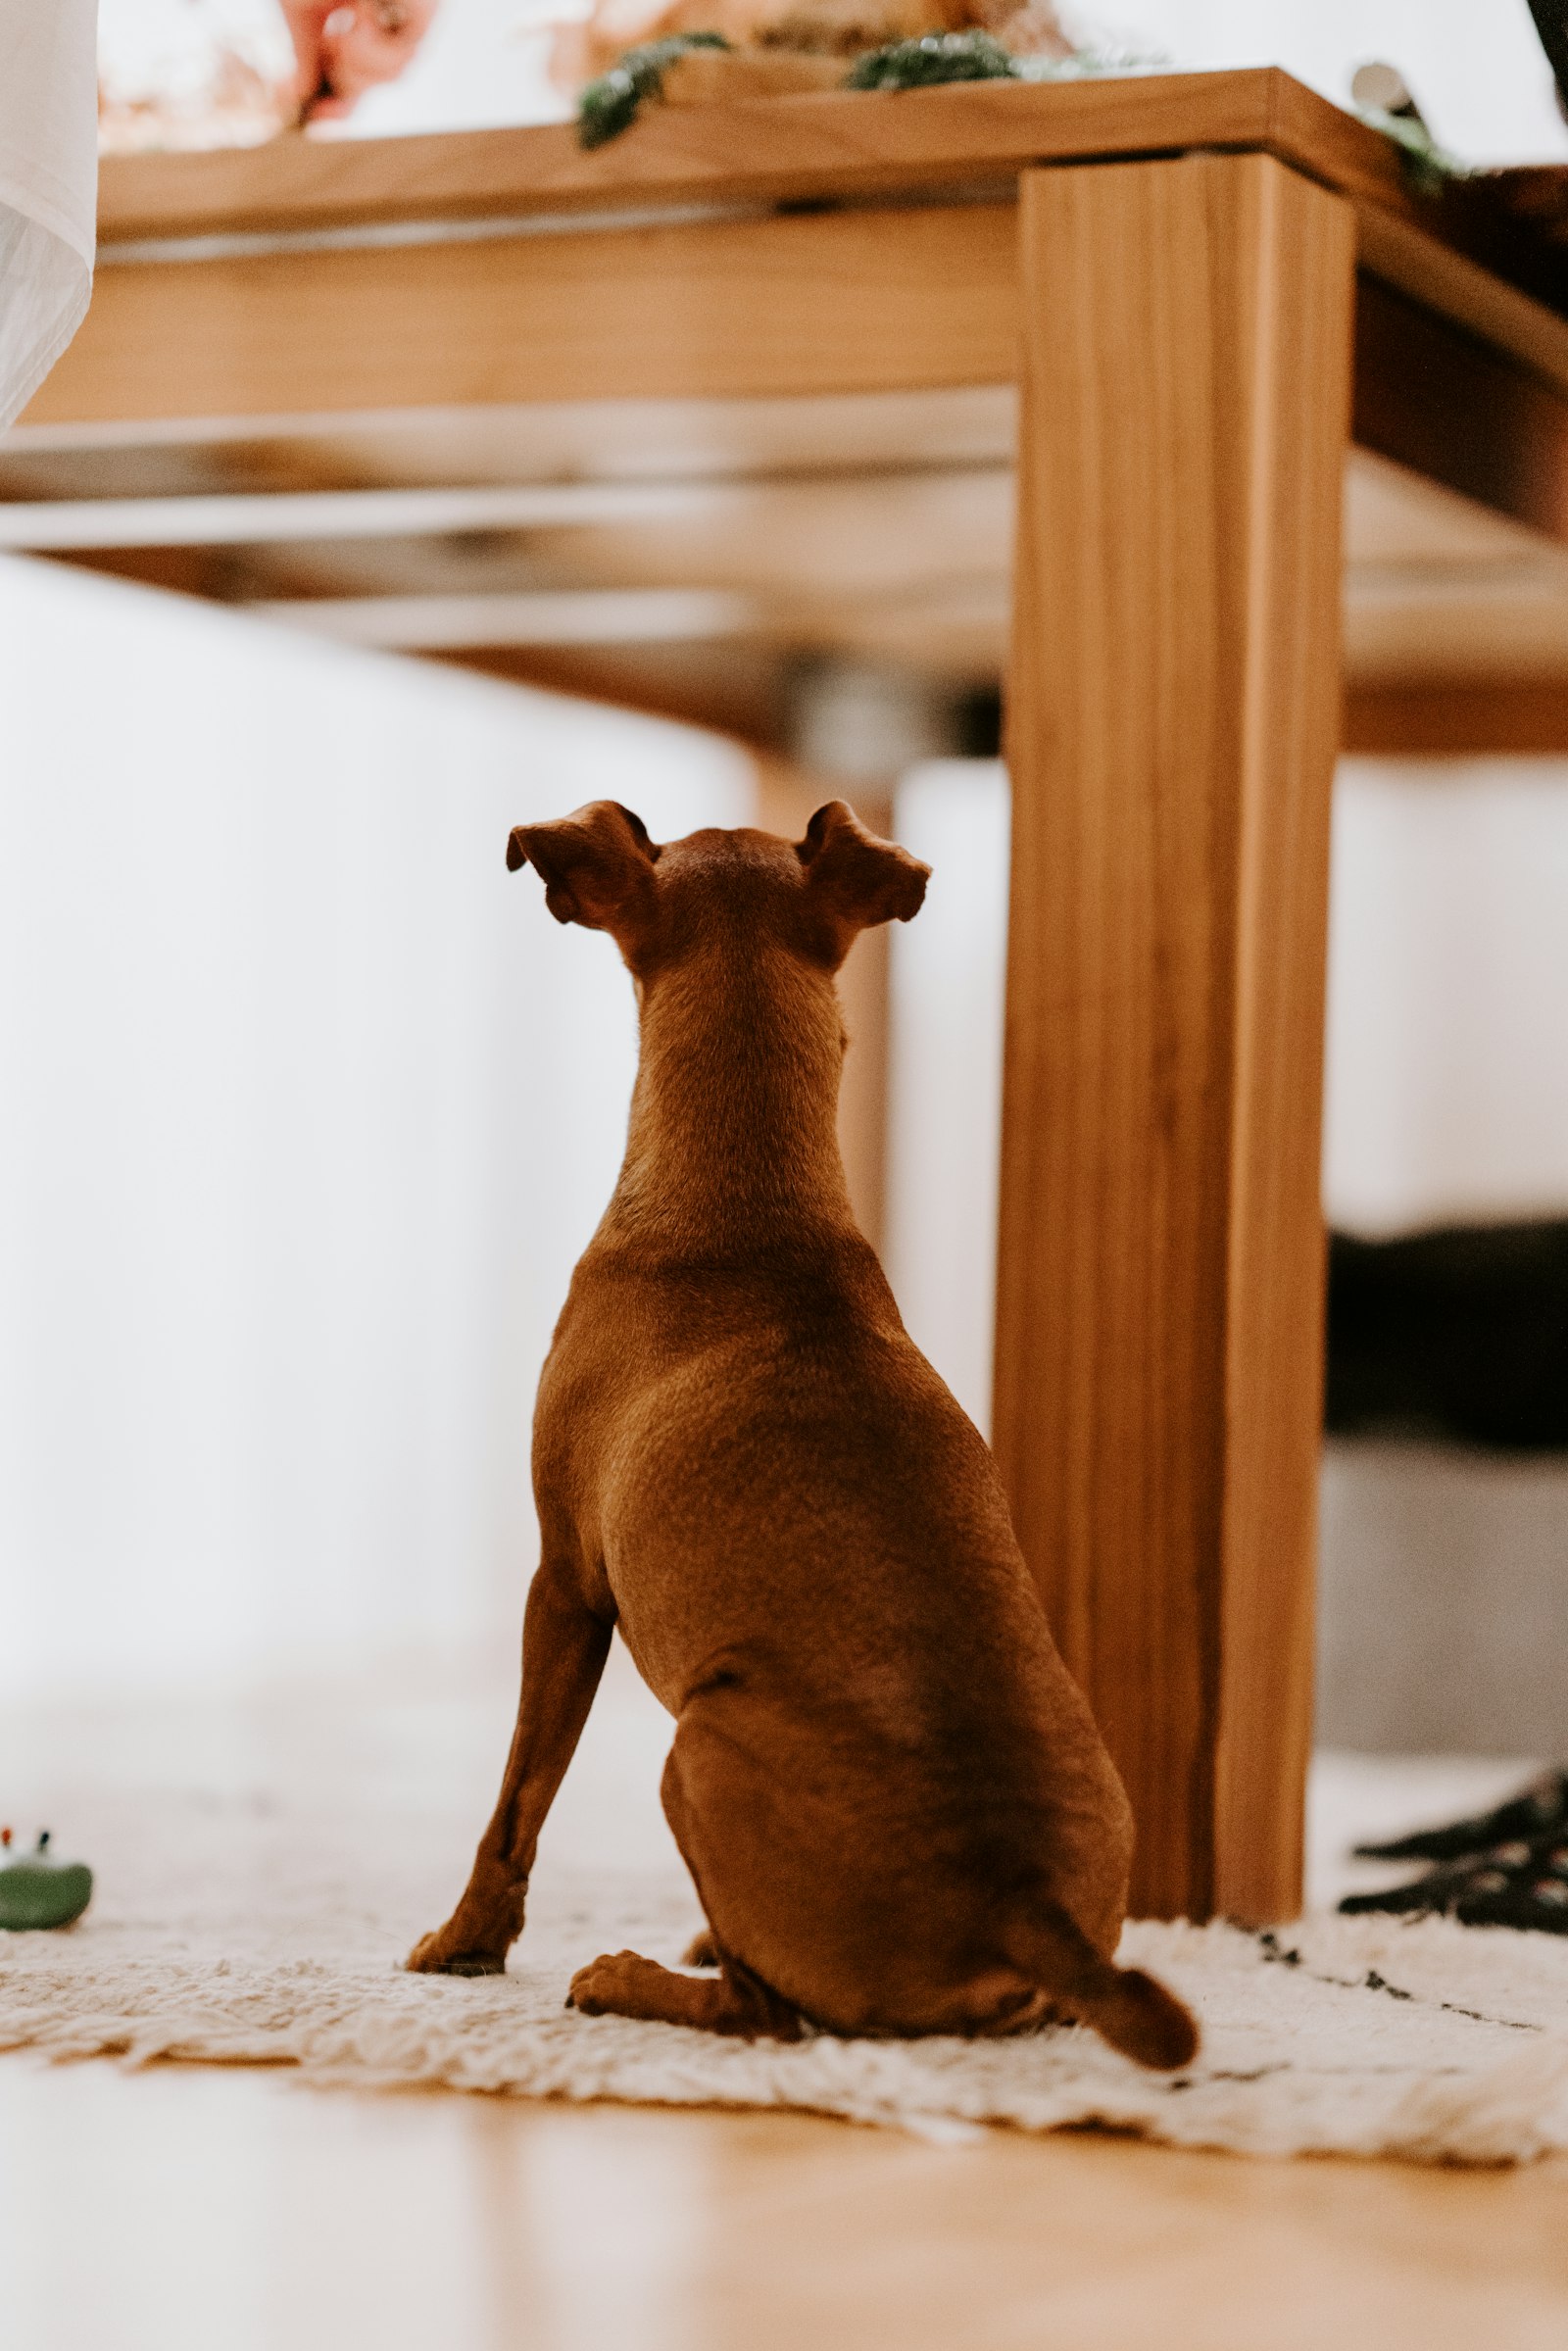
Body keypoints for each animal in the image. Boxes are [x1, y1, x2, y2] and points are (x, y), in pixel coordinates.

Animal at [409, 799, 1203, 2069]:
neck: (753, 1212)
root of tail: (1019, 1904)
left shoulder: (564, 1584)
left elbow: (516, 1798)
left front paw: (463, 1941)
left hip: (694, 1742)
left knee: (763, 2012)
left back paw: (633, 1974)